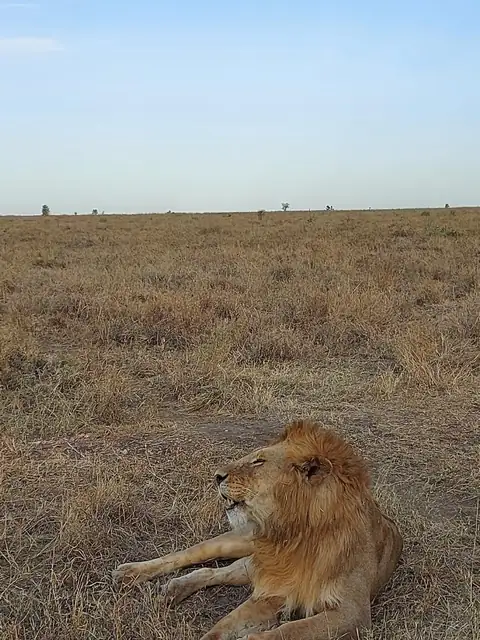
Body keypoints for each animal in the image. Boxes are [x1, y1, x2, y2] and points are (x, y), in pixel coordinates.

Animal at [113, 420, 403, 639]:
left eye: (258, 462)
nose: (216, 476)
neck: (294, 534)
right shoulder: (273, 588)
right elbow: (222, 627)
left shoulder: (351, 612)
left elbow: (288, 632)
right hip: (238, 543)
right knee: (192, 555)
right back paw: (131, 573)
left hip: (251, 564)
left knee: (213, 572)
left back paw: (175, 590)